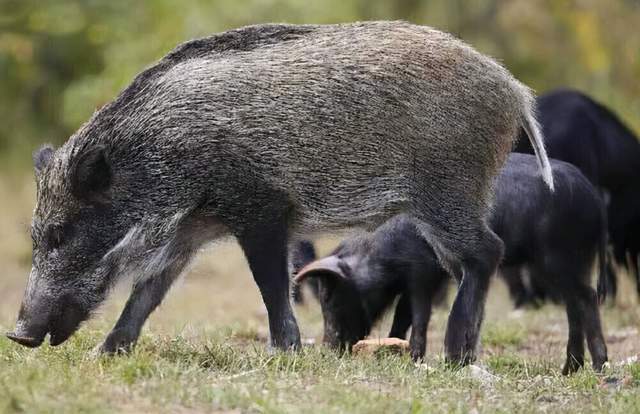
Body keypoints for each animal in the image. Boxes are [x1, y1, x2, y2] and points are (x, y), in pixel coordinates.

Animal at [6, 21, 552, 364]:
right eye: (37, 235)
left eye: (61, 233)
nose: (17, 334)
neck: (163, 154)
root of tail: (514, 91)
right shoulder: (189, 230)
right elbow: (149, 292)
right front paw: (107, 354)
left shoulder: (262, 208)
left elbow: (271, 283)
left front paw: (283, 352)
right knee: (466, 263)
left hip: (448, 192)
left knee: (487, 251)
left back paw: (456, 355)